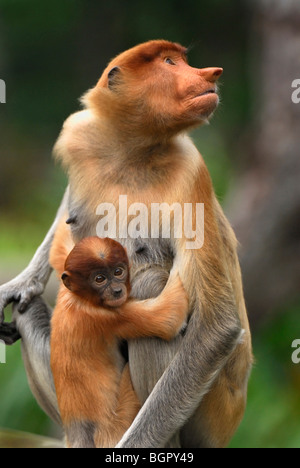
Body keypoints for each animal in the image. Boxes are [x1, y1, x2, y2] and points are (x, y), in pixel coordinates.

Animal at [50, 236, 189, 448]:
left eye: (118, 272)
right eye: (99, 279)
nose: (116, 291)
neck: (79, 299)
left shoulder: (65, 290)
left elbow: (59, 250)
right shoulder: (106, 316)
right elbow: (169, 317)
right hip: (118, 424)